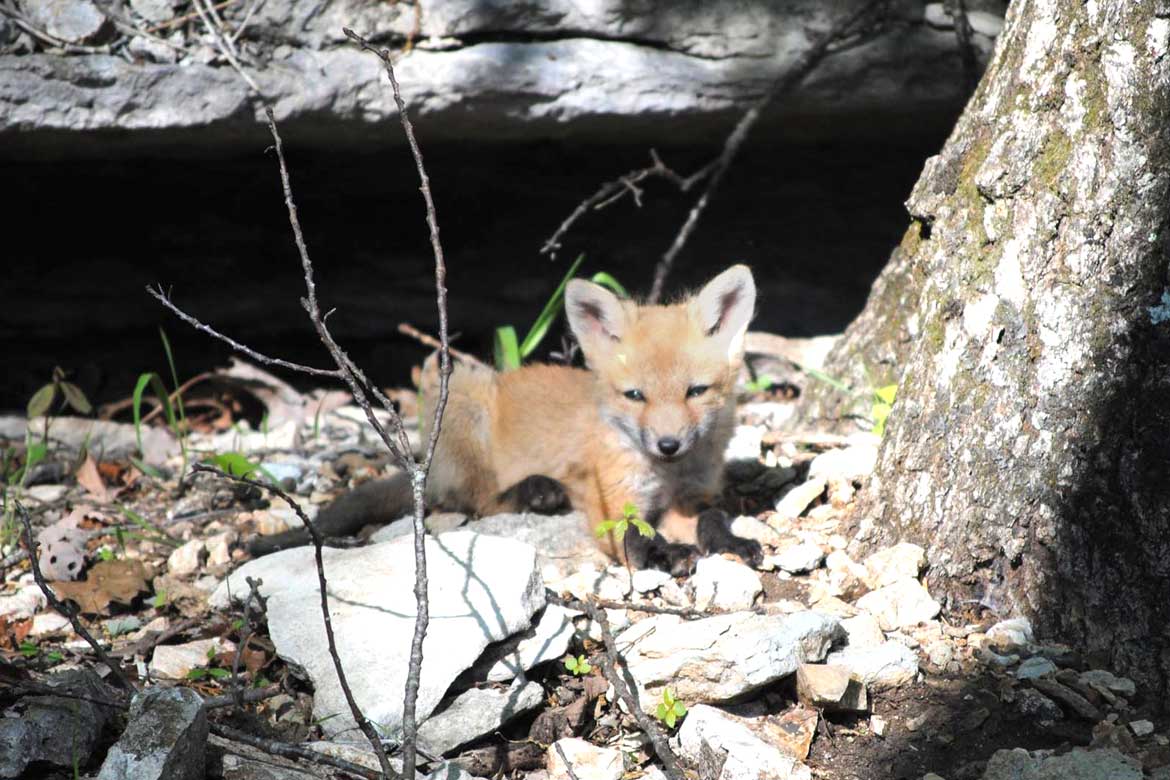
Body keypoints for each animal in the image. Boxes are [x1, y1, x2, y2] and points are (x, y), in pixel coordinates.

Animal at [249, 264, 758, 573]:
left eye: (696, 391)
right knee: (477, 501)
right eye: (635, 396)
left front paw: (728, 540)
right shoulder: (610, 500)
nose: (668, 445)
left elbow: (710, 516)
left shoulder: (689, 497)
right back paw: (534, 490)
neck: (666, 475)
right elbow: (631, 537)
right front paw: (665, 552)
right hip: (464, 395)